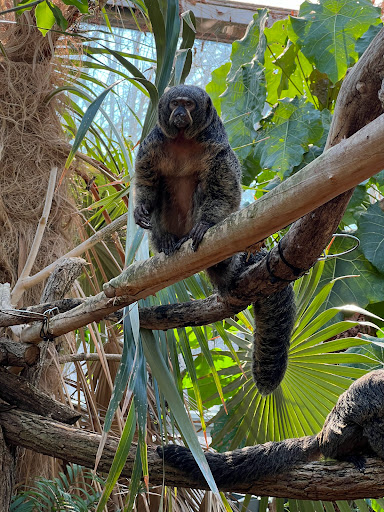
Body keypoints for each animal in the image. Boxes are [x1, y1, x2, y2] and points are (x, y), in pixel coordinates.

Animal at [135, 84, 296, 396]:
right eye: (175, 103)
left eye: (188, 104)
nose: (180, 112)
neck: (183, 141)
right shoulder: (151, 145)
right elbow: (147, 183)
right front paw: (141, 209)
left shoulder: (217, 147)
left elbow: (223, 188)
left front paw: (207, 225)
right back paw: (169, 243)